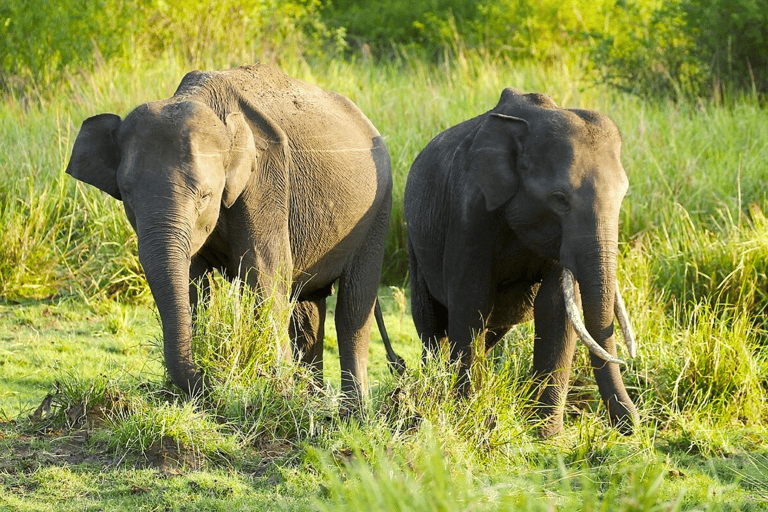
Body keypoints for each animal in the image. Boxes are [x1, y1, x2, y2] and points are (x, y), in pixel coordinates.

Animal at [66, 64, 402, 408]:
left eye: (205, 195)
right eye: (127, 195)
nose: (212, 382)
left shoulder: (266, 179)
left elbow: (265, 273)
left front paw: (278, 393)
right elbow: (193, 283)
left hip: (379, 209)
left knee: (353, 307)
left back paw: (353, 410)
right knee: (308, 309)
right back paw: (315, 400)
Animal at [404, 87, 640, 436]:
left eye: (623, 195)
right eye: (560, 199)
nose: (632, 425)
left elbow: (555, 309)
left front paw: (547, 436)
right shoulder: (469, 214)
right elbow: (471, 302)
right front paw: (465, 415)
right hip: (413, 241)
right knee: (430, 322)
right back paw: (433, 386)